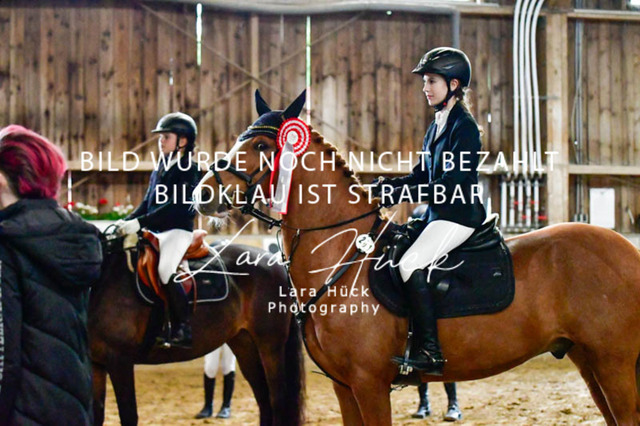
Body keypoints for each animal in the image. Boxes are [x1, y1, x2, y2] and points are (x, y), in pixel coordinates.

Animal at [88, 234, 305, 426]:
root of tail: (277, 264)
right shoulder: (96, 364)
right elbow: (97, 415)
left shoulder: (120, 361)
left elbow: (128, 416)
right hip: (245, 345)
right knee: (263, 400)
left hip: (270, 346)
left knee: (277, 400)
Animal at [193, 125, 640, 425]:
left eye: (261, 145)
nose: (201, 193)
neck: (341, 256)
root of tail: (626, 249)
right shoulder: (344, 386)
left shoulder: (369, 383)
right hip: (589, 360)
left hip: (615, 363)